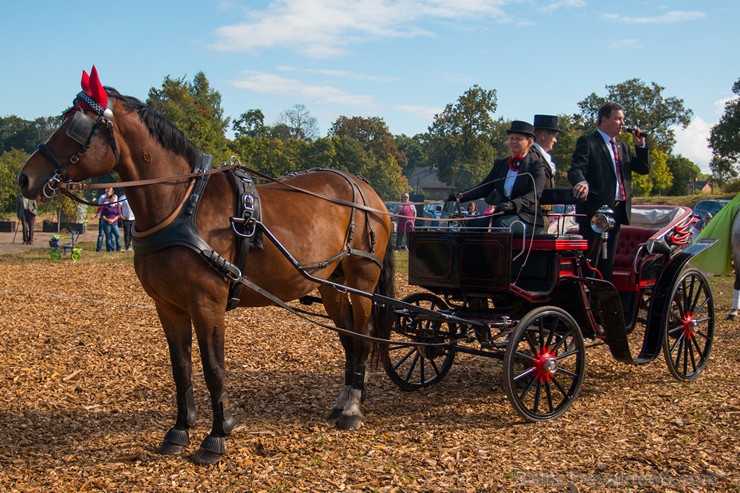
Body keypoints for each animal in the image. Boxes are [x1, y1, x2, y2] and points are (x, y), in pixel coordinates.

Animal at [17, 68, 396, 466]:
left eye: (75, 127)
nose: (25, 178)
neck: (181, 206)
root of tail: (366, 188)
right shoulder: (168, 306)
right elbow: (181, 367)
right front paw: (179, 431)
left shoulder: (207, 304)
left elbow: (214, 369)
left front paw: (216, 436)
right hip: (331, 284)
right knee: (349, 339)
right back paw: (343, 402)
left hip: (362, 280)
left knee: (363, 335)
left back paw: (352, 410)